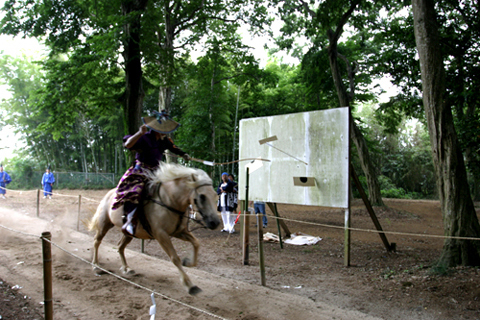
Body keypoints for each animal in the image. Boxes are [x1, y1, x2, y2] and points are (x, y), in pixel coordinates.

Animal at [88, 162, 221, 296]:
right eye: (202, 196)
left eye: (215, 195)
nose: (215, 222)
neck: (169, 201)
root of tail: (108, 195)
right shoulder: (161, 235)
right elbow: (175, 258)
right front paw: (189, 285)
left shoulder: (179, 232)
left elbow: (196, 243)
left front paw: (188, 262)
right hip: (104, 225)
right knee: (96, 241)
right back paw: (95, 265)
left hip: (128, 234)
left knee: (120, 247)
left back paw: (126, 269)